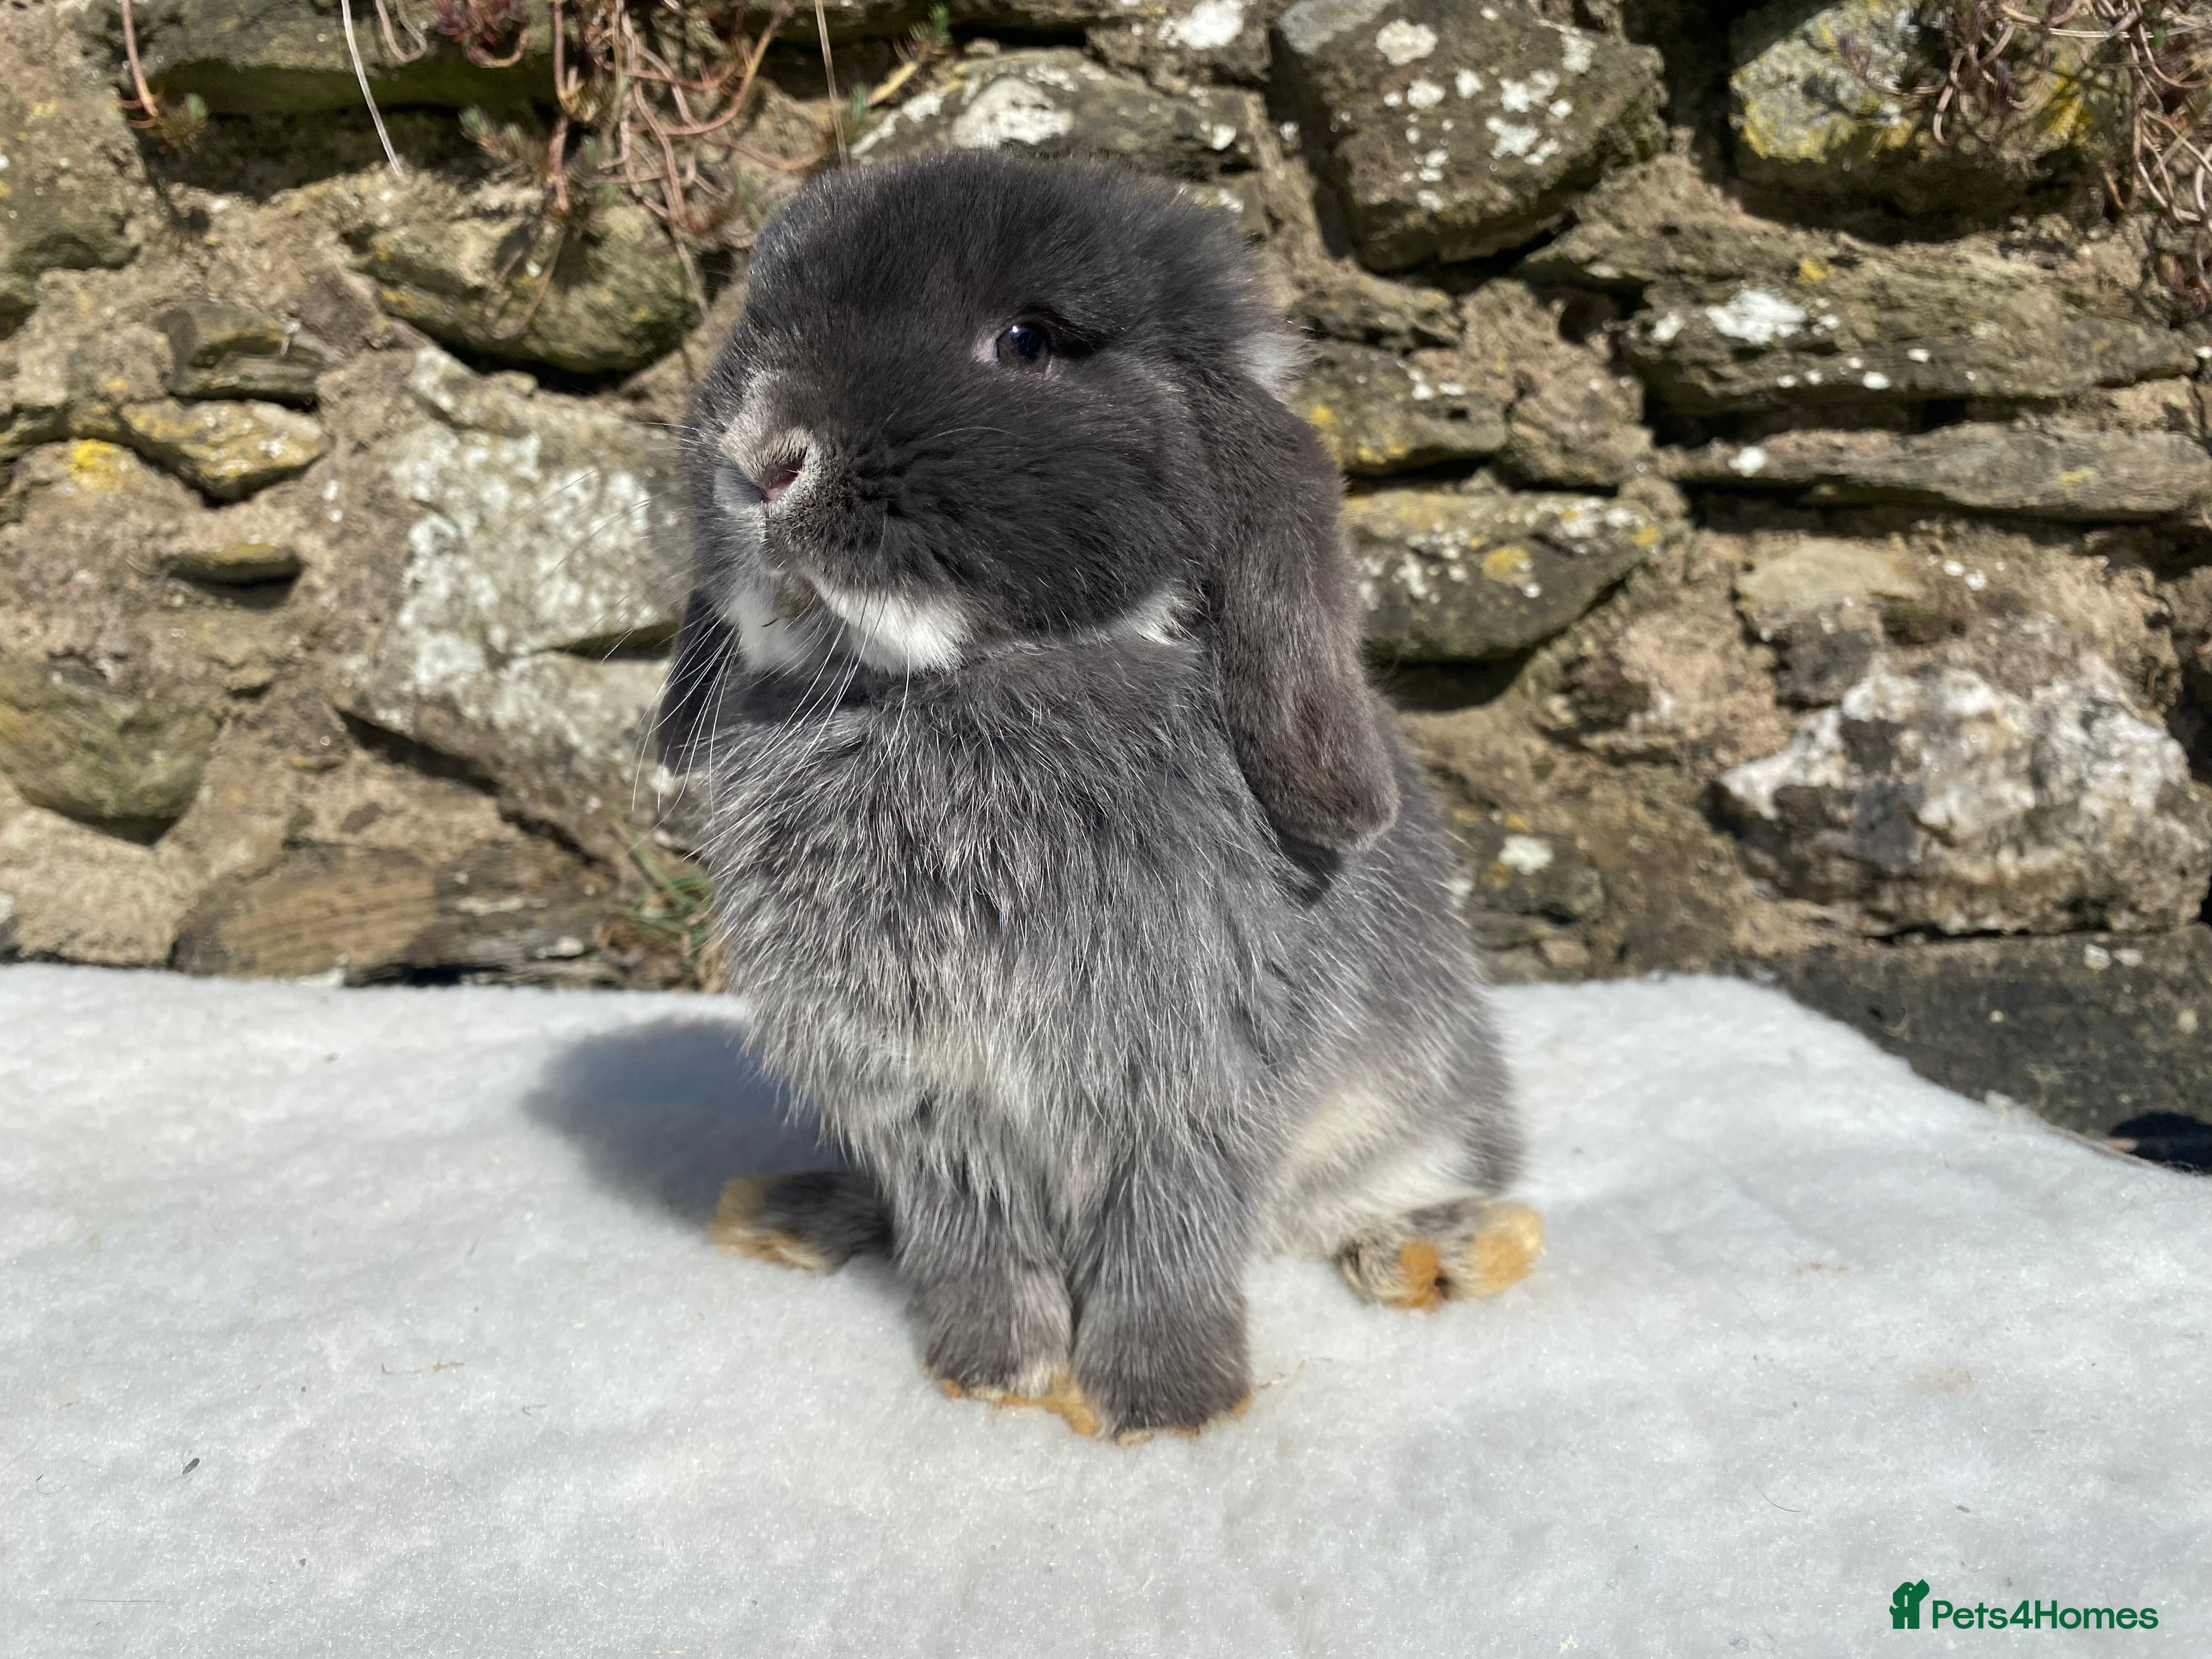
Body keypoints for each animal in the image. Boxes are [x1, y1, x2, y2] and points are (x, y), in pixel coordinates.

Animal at [656, 151, 1533, 1441]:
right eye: (754, 324)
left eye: (1026, 341)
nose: (761, 456)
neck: (943, 685)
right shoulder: (931, 1105)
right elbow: (973, 1246)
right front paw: (991, 1374)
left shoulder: (1188, 1092)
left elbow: (1167, 1245)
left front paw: (1165, 1406)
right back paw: (791, 1214)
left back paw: (1428, 1253)